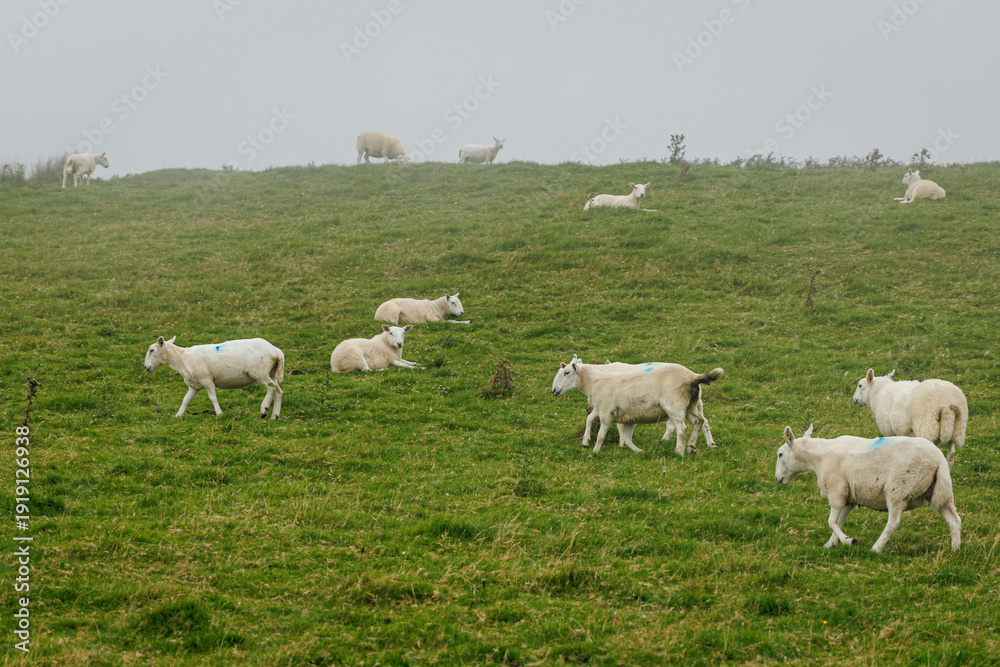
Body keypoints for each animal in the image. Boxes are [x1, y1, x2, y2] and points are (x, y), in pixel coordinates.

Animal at [143, 336, 284, 419]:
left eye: (151, 350)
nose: (146, 367)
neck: (182, 358)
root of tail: (276, 351)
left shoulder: (207, 380)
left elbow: (212, 398)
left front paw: (219, 413)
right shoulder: (195, 386)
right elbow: (186, 400)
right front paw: (178, 415)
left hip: (259, 372)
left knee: (271, 387)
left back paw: (264, 409)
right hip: (271, 372)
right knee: (278, 391)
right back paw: (275, 416)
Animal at [551, 355, 723, 455]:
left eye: (566, 372)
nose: (554, 390)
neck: (595, 379)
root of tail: (692, 376)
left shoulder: (608, 407)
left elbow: (609, 427)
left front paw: (613, 445)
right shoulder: (609, 408)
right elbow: (590, 419)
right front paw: (586, 442)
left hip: (673, 405)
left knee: (681, 428)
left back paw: (678, 451)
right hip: (691, 405)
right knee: (700, 422)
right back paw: (696, 447)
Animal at [775, 424, 961, 553]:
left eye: (780, 454)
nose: (778, 479)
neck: (819, 457)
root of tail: (939, 459)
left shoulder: (837, 492)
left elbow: (831, 521)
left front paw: (848, 540)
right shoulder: (849, 497)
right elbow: (839, 521)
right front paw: (831, 544)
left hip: (899, 489)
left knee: (893, 522)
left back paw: (876, 548)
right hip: (940, 493)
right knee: (954, 520)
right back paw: (955, 549)